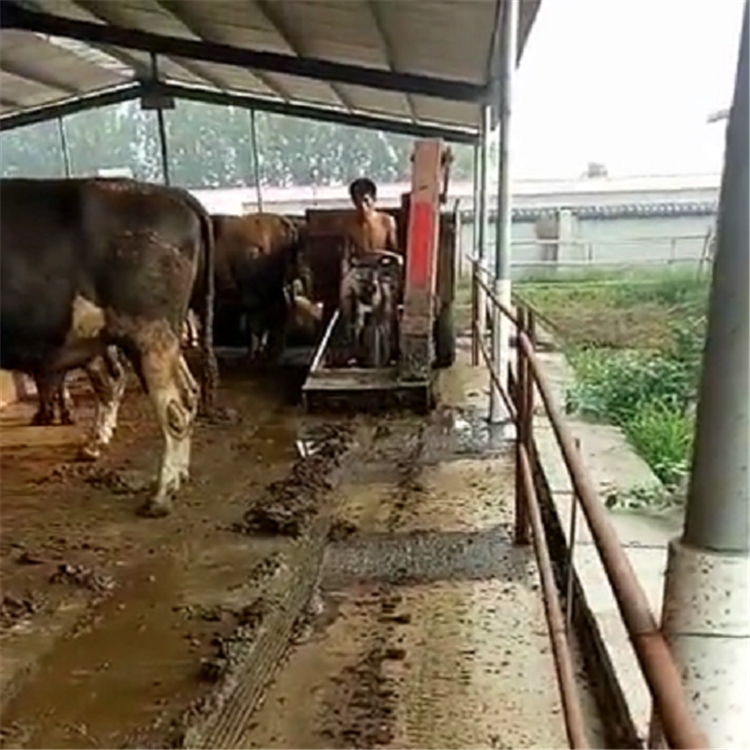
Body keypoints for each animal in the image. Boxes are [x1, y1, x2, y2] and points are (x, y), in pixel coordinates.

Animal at [0, 178, 217, 516]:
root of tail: (172, 192)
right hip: (157, 336)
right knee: (184, 391)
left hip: (149, 332)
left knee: (175, 407)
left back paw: (160, 495)